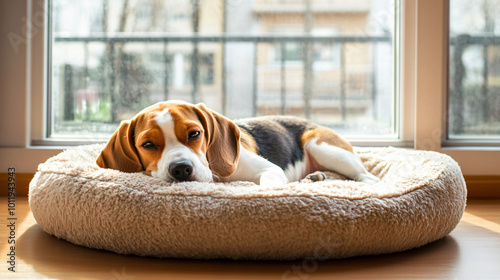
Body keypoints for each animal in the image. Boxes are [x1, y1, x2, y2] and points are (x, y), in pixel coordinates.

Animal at [96, 100, 378, 186]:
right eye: (147, 145)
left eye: (194, 134)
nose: (181, 169)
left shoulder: (269, 170)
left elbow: (269, 183)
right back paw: (314, 178)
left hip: (319, 145)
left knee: (368, 177)